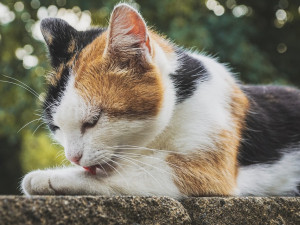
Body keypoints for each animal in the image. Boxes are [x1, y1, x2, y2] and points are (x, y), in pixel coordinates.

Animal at [21, 3, 300, 197]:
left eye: (93, 121)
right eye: (56, 127)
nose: (73, 158)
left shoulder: (208, 170)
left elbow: (137, 168)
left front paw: (49, 178)